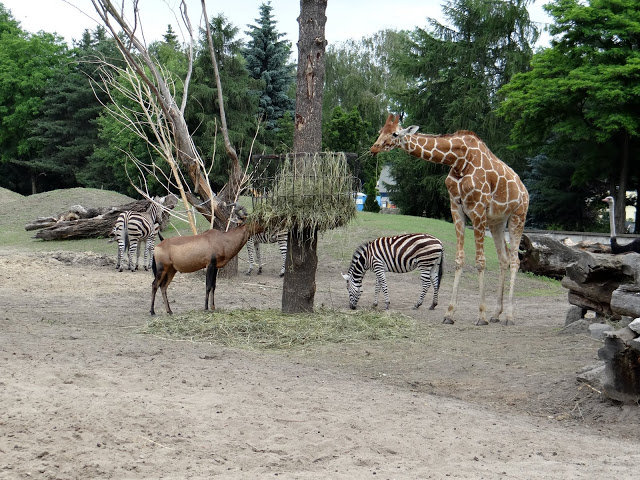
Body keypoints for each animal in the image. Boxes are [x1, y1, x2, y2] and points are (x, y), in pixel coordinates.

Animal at [370, 114, 529, 325]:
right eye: (380, 131)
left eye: (395, 133)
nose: (374, 148)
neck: (459, 160)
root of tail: (524, 190)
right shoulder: (456, 208)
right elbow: (459, 259)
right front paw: (449, 313)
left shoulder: (478, 209)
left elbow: (480, 261)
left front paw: (481, 315)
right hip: (497, 222)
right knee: (504, 259)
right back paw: (496, 314)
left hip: (518, 216)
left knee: (515, 260)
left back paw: (509, 316)